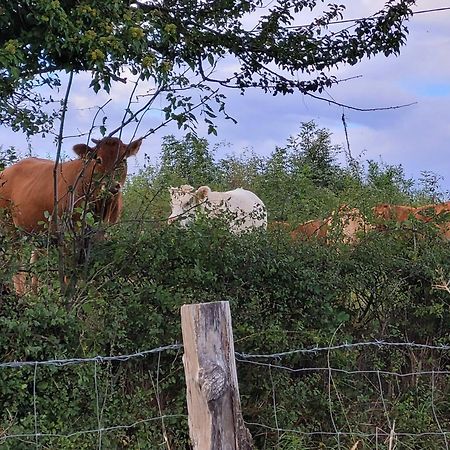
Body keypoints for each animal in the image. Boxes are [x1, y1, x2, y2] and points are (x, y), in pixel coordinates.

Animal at [0, 135, 142, 294]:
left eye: (123, 160)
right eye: (98, 159)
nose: (112, 186)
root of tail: (7, 170)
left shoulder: (102, 235)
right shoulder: (69, 236)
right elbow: (69, 273)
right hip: (10, 227)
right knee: (16, 264)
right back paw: (21, 294)